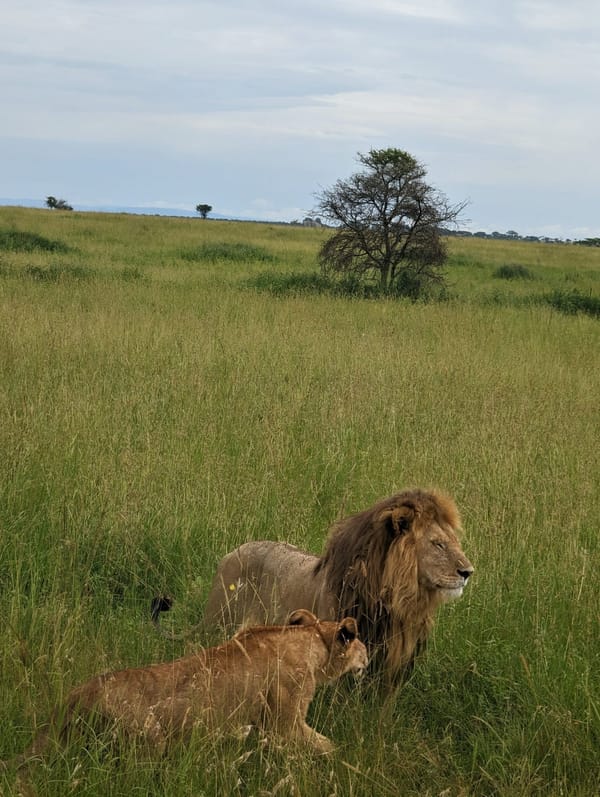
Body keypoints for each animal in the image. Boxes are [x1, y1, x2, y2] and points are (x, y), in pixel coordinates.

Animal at [5, 610, 367, 769]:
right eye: (360, 641)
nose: (368, 654)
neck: (313, 641)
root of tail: (77, 695)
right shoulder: (286, 724)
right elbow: (329, 747)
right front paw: (348, 762)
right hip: (149, 738)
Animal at [198, 489, 473, 690]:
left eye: (454, 542)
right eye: (438, 544)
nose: (468, 572)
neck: (394, 605)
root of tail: (231, 553)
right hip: (217, 627)